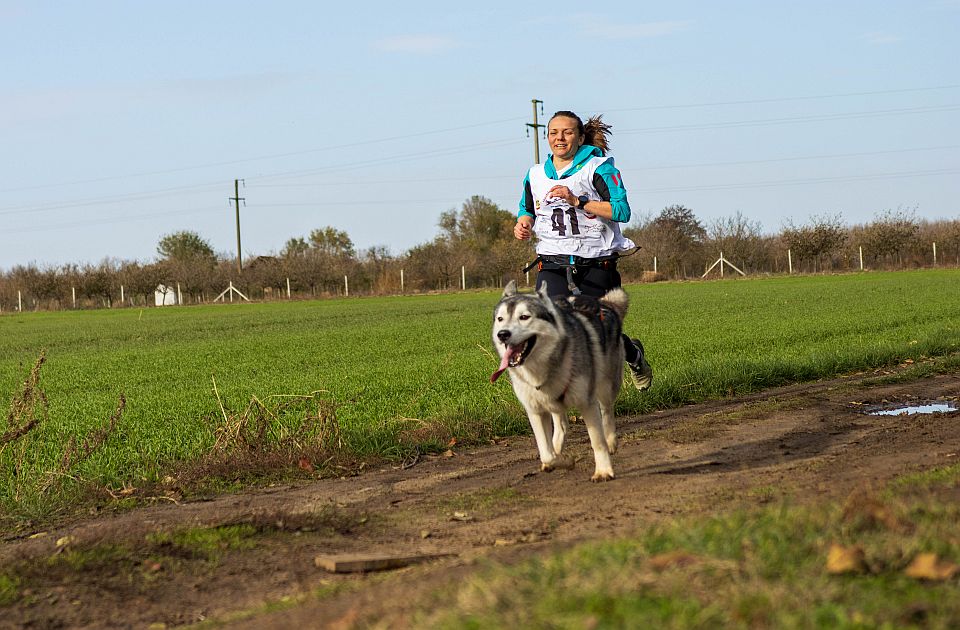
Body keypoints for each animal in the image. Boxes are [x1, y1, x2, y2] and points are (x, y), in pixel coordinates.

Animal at [488, 282, 632, 484]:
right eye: (500, 319)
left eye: (524, 317)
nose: (503, 334)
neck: (543, 367)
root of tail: (605, 304)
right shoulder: (535, 410)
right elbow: (545, 452)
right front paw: (563, 460)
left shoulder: (587, 402)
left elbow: (597, 441)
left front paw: (603, 471)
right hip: (554, 402)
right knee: (561, 424)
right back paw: (557, 449)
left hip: (606, 384)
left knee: (607, 411)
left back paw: (611, 440)